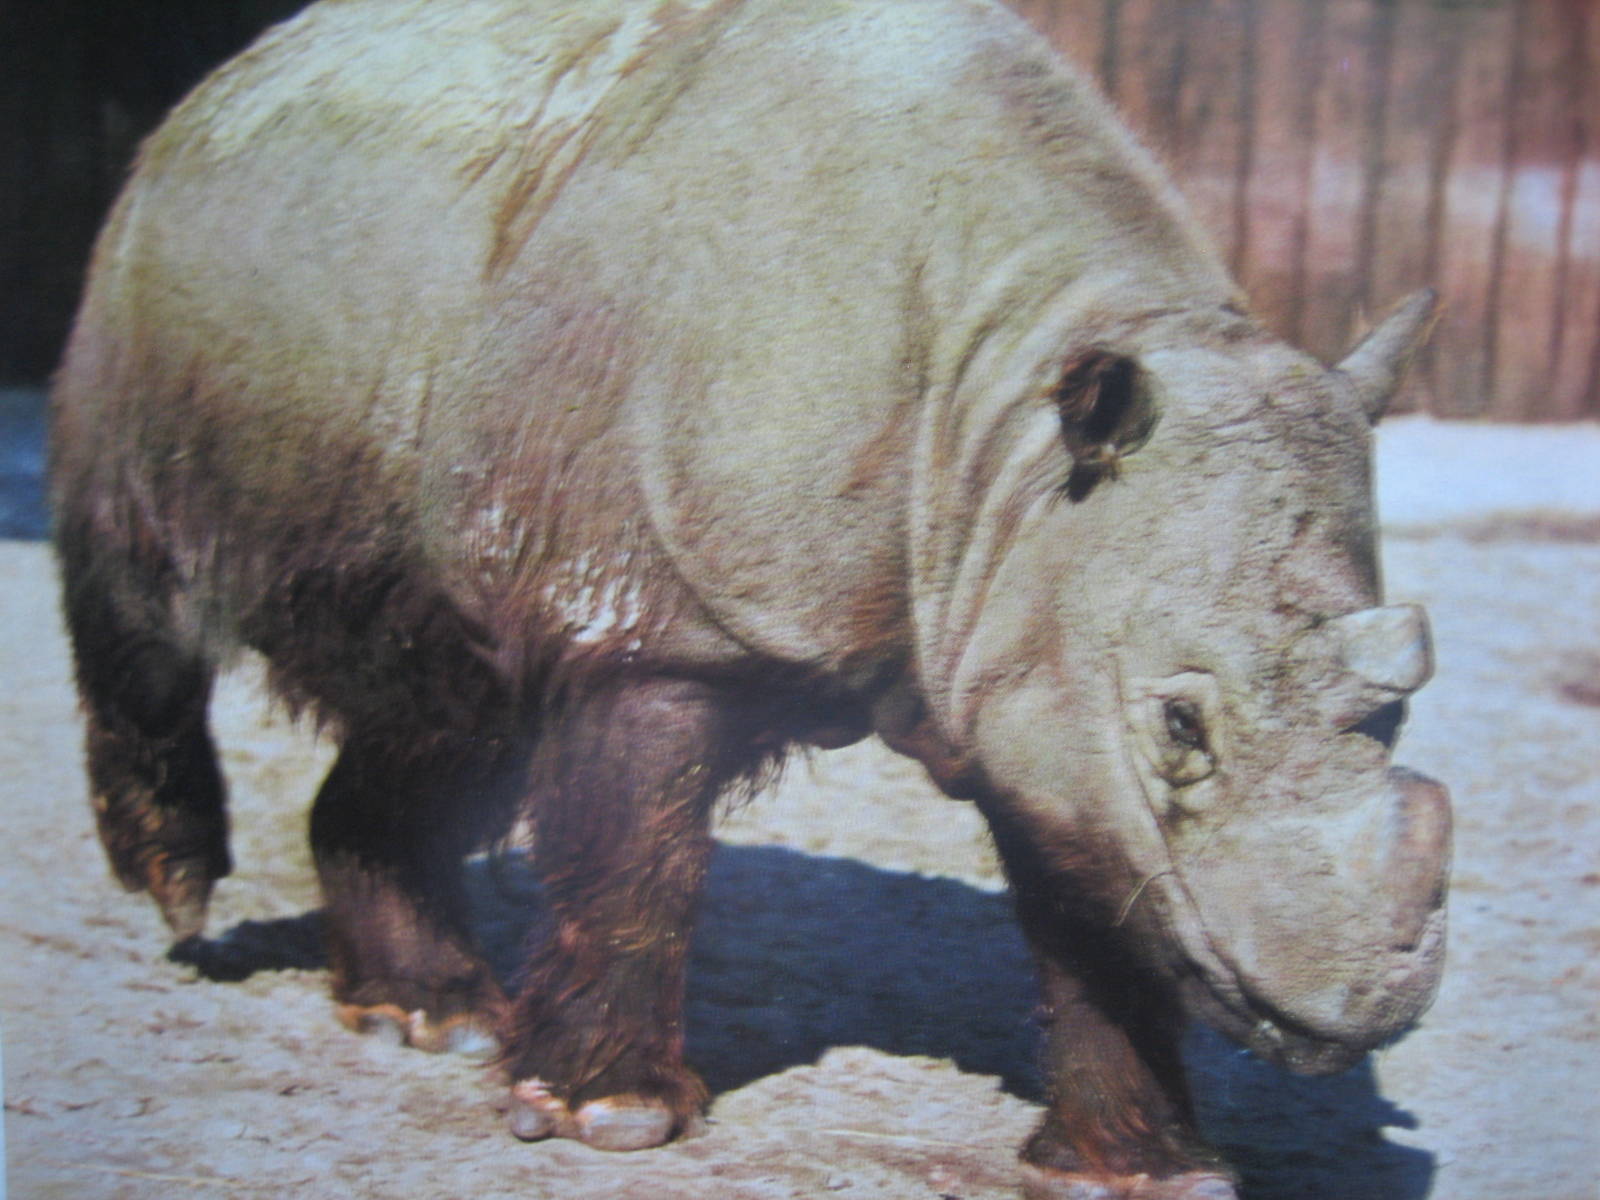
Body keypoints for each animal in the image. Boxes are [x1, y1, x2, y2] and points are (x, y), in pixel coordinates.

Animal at [49, 1, 1450, 1195]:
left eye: (1403, 702)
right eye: (1180, 726)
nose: (1360, 1007)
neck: (1013, 417)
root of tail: (234, 76)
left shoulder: (1034, 634)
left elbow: (1099, 885)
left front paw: (1148, 1177)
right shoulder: (659, 621)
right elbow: (637, 856)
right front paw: (606, 1123)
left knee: (453, 704)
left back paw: (426, 1021)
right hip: (147, 272)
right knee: (140, 599)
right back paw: (187, 901)